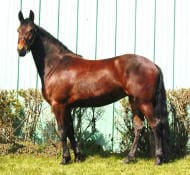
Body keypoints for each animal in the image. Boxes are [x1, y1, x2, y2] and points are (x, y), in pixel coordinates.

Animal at [17, 10, 168, 165]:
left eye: (31, 31)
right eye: (18, 30)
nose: (21, 50)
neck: (57, 64)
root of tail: (154, 65)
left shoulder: (58, 105)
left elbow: (62, 131)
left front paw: (65, 159)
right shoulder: (67, 107)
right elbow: (71, 131)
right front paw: (78, 157)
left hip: (145, 102)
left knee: (155, 125)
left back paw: (158, 159)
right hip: (134, 101)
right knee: (139, 127)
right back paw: (129, 158)